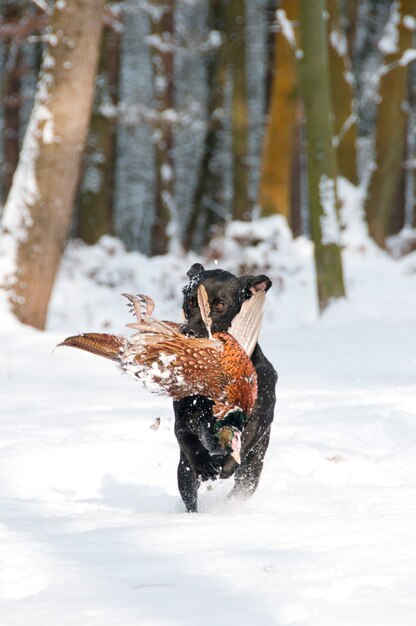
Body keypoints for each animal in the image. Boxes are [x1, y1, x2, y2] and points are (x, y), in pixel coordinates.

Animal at [172, 260, 276, 510]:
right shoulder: (183, 417)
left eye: (220, 305)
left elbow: (244, 441)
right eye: (190, 301)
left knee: (242, 486)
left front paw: (225, 465)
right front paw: (204, 464)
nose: (188, 331)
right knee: (190, 495)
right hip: (183, 471)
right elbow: (188, 438)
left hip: (254, 469)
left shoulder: (259, 416)